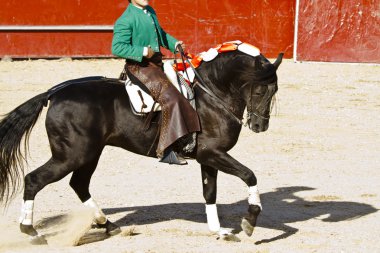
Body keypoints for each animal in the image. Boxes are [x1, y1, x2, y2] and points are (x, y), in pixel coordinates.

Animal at [0, 50, 282, 243]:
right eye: (259, 91)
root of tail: (54, 93)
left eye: (275, 90)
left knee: (78, 184)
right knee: (35, 179)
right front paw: (249, 221)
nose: (260, 126)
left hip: (89, 154)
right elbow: (249, 175)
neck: (210, 95)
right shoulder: (212, 153)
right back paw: (31, 232)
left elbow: (209, 193)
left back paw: (107, 224)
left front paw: (220, 231)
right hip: (71, 156)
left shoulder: (208, 157)